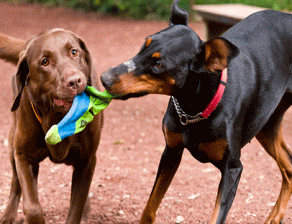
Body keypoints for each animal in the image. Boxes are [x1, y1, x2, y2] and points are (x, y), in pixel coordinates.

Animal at [0, 28, 102, 223]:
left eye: (74, 52)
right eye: (45, 62)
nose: (75, 81)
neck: (59, 119)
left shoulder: (87, 160)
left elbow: (76, 206)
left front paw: (81, 211)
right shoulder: (23, 156)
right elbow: (32, 207)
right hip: (12, 147)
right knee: (16, 184)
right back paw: (8, 215)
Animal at [101, 0, 292, 223]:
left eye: (159, 64)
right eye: (144, 45)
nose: (105, 78)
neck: (194, 107)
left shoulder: (232, 169)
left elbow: (216, 216)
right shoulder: (171, 151)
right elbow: (149, 208)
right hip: (266, 127)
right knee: (289, 166)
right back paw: (275, 216)